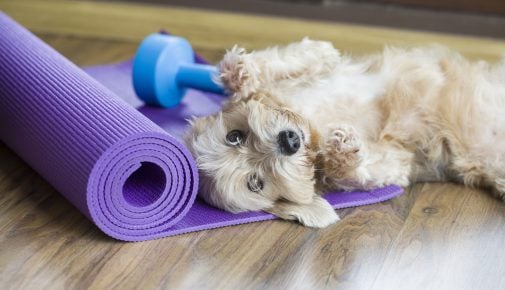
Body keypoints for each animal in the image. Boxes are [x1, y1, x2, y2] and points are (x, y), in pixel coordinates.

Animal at [184, 38, 504, 228]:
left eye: (234, 136)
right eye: (255, 183)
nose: (289, 140)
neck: (312, 126)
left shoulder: (311, 71)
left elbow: (305, 56)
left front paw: (239, 71)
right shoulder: (396, 159)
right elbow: (361, 170)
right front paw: (342, 152)